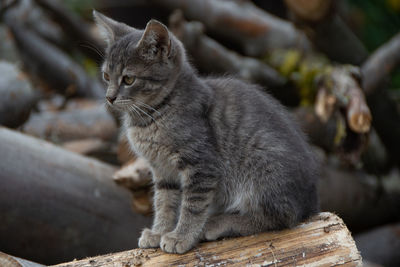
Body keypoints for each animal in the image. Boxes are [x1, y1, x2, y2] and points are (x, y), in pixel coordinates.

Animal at [94, 11, 318, 255]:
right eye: (106, 76)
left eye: (128, 79)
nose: (109, 97)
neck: (151, 116)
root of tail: (310, 202)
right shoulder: (162, 170)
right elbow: (163, 202)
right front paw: (158, 232)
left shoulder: (202, 165)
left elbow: (192, 206)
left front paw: (181, 237)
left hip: (262, 166)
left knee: (280, 217)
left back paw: (218, 223)